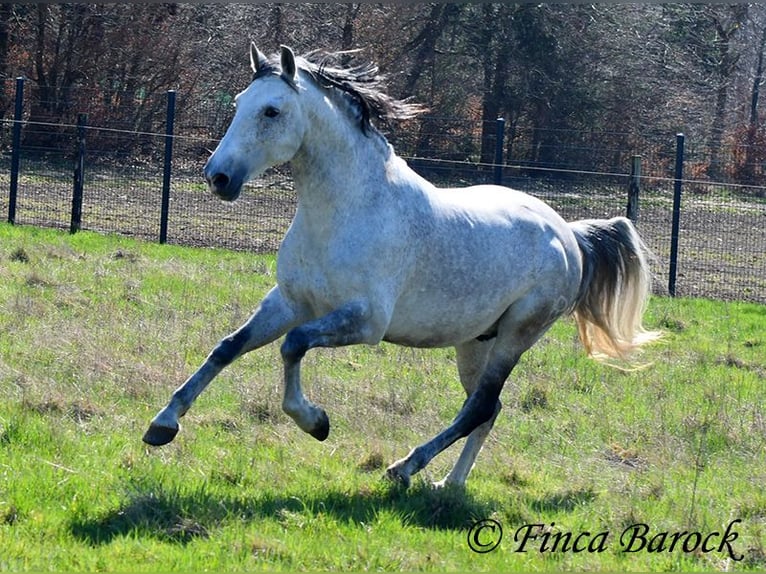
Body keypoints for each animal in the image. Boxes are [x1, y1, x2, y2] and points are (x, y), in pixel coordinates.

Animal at [143, 44, 661, 489]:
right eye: (238, 103)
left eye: (272, 111)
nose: (218, 177)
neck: (346, 210)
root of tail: (568, 234)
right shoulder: (290, 301)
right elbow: (228, 347)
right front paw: (162, 424)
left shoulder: (365, 321)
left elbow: (293, 346)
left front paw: (316, 422)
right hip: (476, 341)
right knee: (487, 409)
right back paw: (449, 484)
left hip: (517, 335)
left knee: (479, 407)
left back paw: (405, 468)